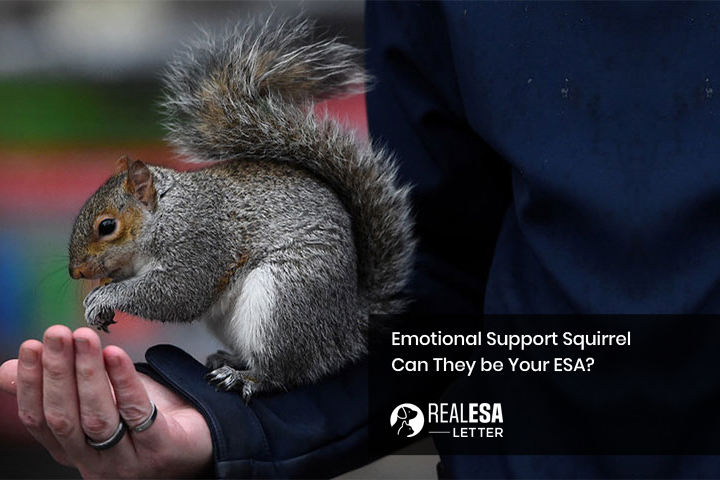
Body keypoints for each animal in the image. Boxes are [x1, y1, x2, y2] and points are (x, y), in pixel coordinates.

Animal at [67, 17, 415, 401]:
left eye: (107, 226)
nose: (75, 271)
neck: (165, 214)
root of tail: (349, 328)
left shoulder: (200, 242)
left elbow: (178, 292)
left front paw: (104, 296)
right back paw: (229, 359)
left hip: (285, 298)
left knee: (285, 370)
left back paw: (246, 377)